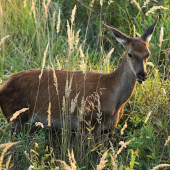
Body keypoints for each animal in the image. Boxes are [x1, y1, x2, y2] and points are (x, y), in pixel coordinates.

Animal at [0, 18, 157, 141]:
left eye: (148, 54)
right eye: (130, 54)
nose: (142, 75)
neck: (115, 99)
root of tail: (3, 87)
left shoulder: (107, 129)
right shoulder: (88, 122)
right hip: (17, 118)